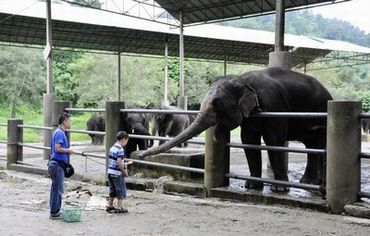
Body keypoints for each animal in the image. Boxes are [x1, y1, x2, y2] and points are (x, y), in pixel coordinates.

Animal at [141, 68, 332, 192]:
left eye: (217, 104)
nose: (141, 156)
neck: (243, 80)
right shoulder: (249, 116)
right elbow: (248, 141)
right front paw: (252, 186)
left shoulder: (274, 105)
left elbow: (274, 140)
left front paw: (279, 190)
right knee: (313, 145)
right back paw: (310, 182)